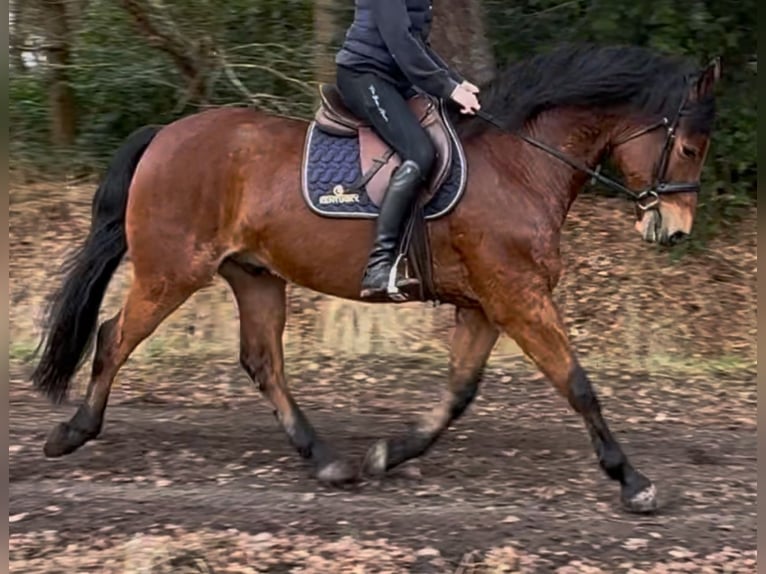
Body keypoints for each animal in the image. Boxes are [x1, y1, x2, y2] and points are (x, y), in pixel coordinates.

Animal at [30, 42, 724, 516]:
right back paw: (71, 434)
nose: (675, 231)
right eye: (690, 147)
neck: (521, 164)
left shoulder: (486, 305)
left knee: (263, 361)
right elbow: (578, 385)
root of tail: (164, 135)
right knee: (115, 337)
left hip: (254, 275)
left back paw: (329, 462)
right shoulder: (518, 298)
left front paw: (388, 454)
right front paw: (633, 482)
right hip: (172, 270)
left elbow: (459, 394)